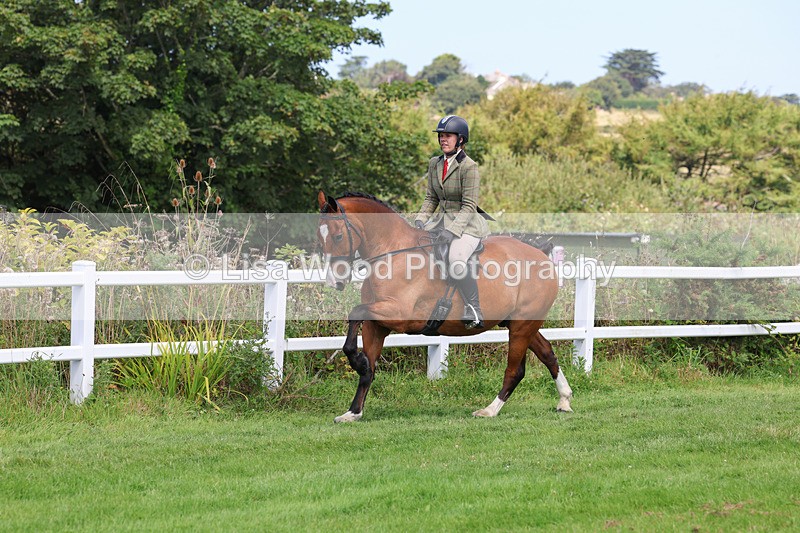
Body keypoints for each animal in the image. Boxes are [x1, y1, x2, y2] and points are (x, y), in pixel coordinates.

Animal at [316, 191, 573, 422]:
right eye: (320, 239)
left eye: (338, 237)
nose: (334, 282)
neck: (391, 254)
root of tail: (541, 255)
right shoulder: (377, 324)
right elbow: (366, 367)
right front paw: (353, 411)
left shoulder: (399, 315)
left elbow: (355, 313)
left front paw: (357, 363)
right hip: (519, 323)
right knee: (547, 353)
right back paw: (564, 400)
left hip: (522, 325)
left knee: (515, 370)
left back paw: (489, 411)